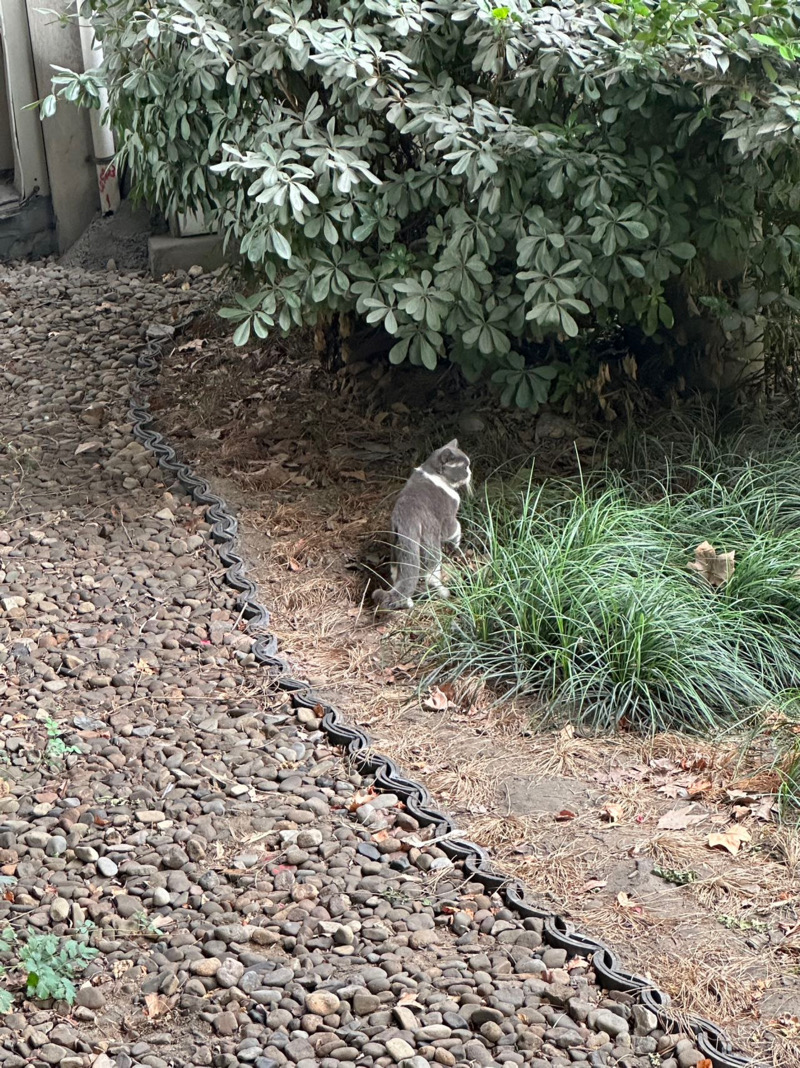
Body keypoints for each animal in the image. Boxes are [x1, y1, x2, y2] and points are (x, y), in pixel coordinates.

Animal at [373, 440, 472, 610]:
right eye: (465, 467)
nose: (471, 473)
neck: (432, 473)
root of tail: (405, 519)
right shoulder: (448, 518)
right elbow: (456, 528)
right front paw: (456, 543)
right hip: (431, 544)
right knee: (430, 574)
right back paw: (444, 592)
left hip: (396, 548)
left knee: (397, 574)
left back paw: (408, 602)